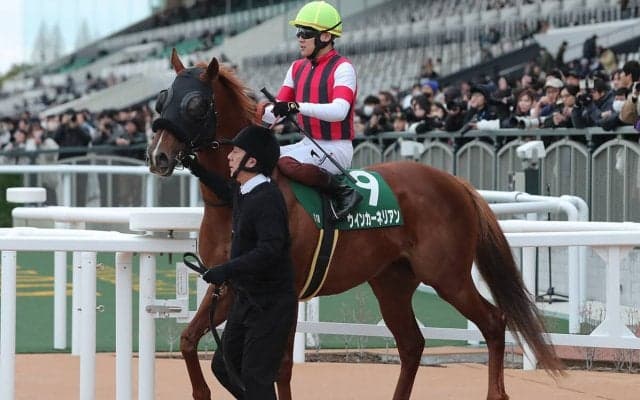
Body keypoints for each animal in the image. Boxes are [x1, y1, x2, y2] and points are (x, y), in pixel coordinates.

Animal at [147, 50, 563, 400]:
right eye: (161, 99)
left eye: (196, 103)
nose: (158, 156)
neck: (237, 195)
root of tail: (454, 182)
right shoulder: (229, 283)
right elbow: (188, 339)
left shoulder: (282, 291)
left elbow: (280, 368)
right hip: (392, 282)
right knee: (412, 344)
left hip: (448, 276)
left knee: (493, 321)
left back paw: (497, 391)